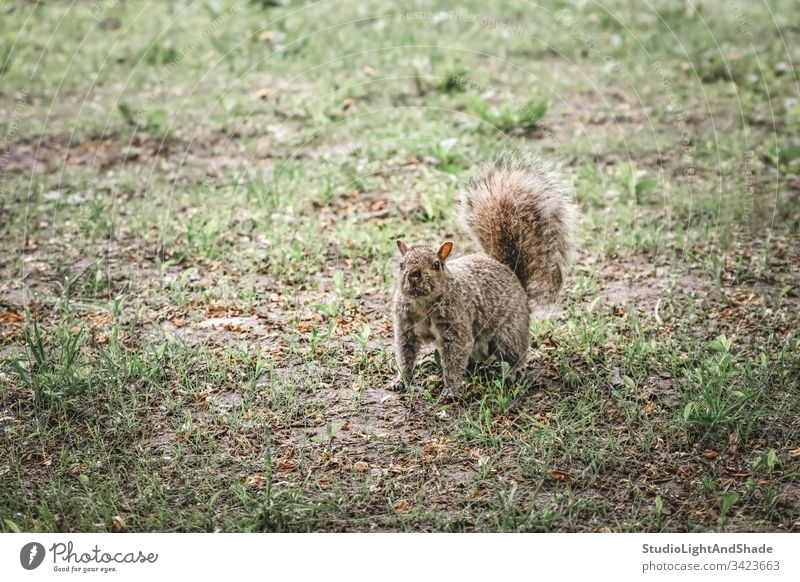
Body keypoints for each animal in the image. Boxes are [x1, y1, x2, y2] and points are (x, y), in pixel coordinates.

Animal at [390, 154, 580, 402]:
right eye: (401, 264)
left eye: (436, 265)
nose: (413, 275)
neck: (423, 303)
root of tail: (513, 276)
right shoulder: (406, 328)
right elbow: (405, 355)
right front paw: (401, 381)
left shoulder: (456, 326)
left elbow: (454, 358)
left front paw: (449, 391)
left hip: (508, 332)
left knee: (514, 353)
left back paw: (514, 372)